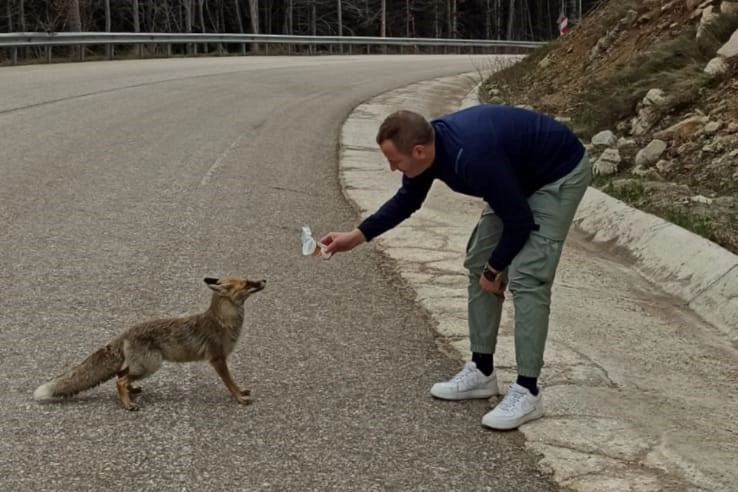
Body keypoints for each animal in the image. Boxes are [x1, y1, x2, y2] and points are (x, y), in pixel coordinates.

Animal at [33, 276, 266, 411]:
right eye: (247, 283)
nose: (264, 280)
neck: (224, 322)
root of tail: (125, 332)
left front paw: (241, 392)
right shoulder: (217, 359)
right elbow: (230, 383)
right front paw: (239, 398)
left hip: (142, 366)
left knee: (121, 375)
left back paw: (131, 392)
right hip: (151, 365)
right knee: (119, 380)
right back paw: (128, 404)